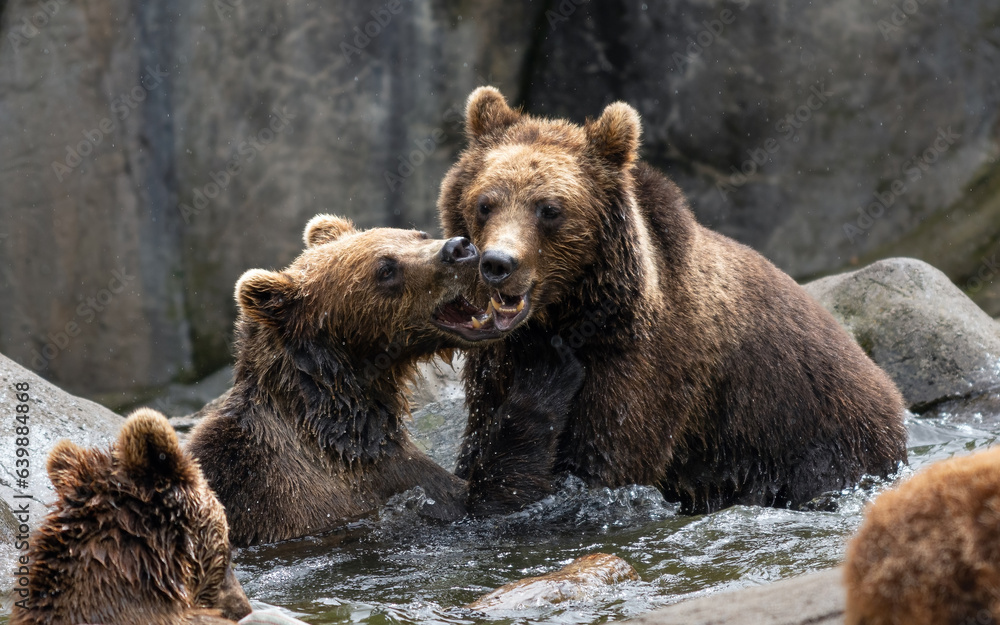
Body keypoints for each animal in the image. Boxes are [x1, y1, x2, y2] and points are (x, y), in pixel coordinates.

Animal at [437, 86, 908, 515]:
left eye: (549, 209)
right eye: (485, 203)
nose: (497, 263)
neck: (574, 312)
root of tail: (889, 393)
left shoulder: (643, 369)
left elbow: (598, 471)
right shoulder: (493, 367)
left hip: (813, 438)